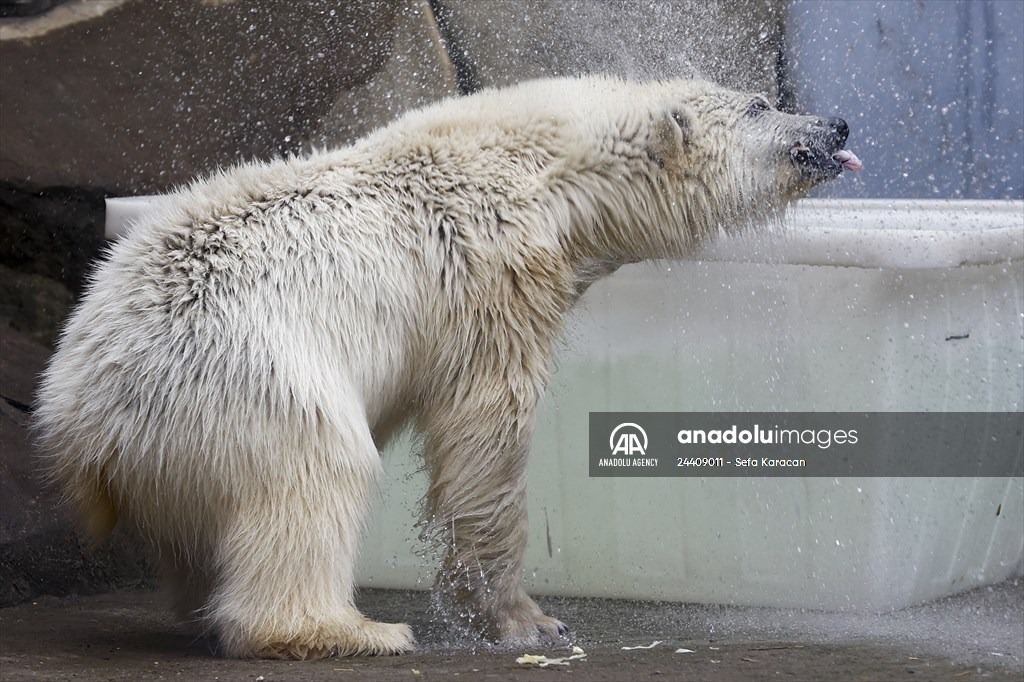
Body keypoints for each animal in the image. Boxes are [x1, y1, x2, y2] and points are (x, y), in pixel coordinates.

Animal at [34, 76, 859, 659]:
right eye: (761, 102)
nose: (838, 124)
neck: (546, 169)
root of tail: (84, 427)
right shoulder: (492, 270)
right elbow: (486, 432)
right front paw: (526, 621)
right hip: (244, 381)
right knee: (318, 473)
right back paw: (349, 630)